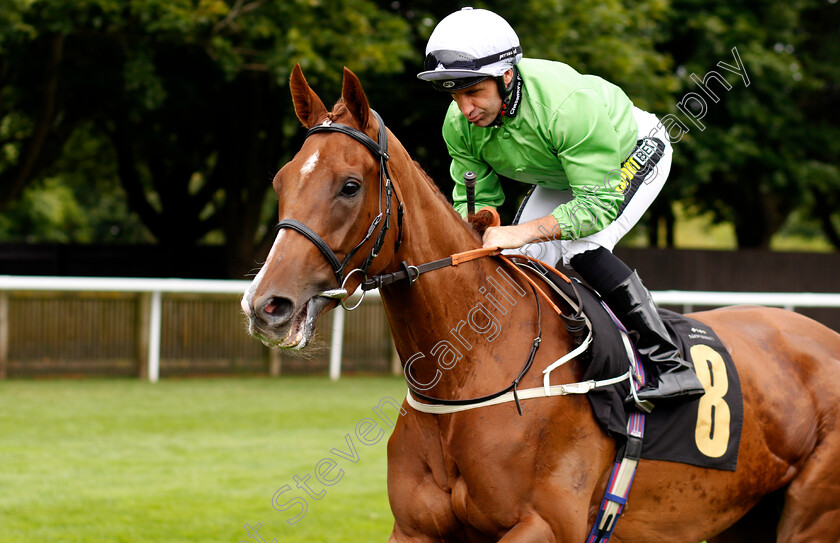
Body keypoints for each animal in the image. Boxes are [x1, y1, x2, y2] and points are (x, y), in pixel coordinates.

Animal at [238, 65, 840, 543]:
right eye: (281, 181)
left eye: (349, 185)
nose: (268, 305)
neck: (473, 372)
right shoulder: (414, 529)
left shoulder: (544, 525)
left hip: (809, 517)